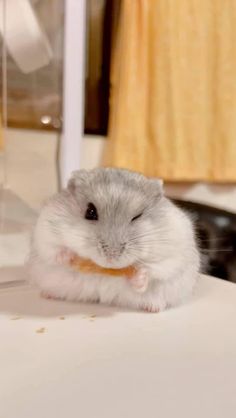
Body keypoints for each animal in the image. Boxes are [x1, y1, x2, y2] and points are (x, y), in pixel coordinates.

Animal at [27, 168, 201, 312]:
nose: (111, 257)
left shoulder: (174, 249)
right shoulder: (45, 232)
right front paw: (68, 257)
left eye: (137, 216)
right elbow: (54, 250)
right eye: (90, 212)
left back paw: (153, 308)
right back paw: (47, 294)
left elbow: (157, 268)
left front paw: (139, 278)